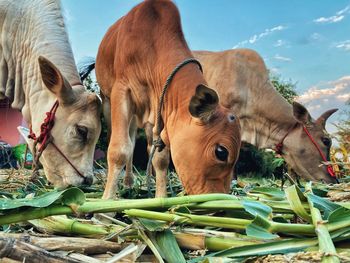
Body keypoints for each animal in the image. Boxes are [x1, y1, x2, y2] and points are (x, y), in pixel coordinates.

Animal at [93, 0, 241, 198]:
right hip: (108, 100)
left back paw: (131, 181)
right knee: (121, 141)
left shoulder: (161, 107)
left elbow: (160, 158)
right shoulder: (121, 90)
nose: (220, 200)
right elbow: (119, 150)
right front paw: (107, 199)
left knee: (138, 143)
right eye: (221, 152)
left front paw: (160, 197)